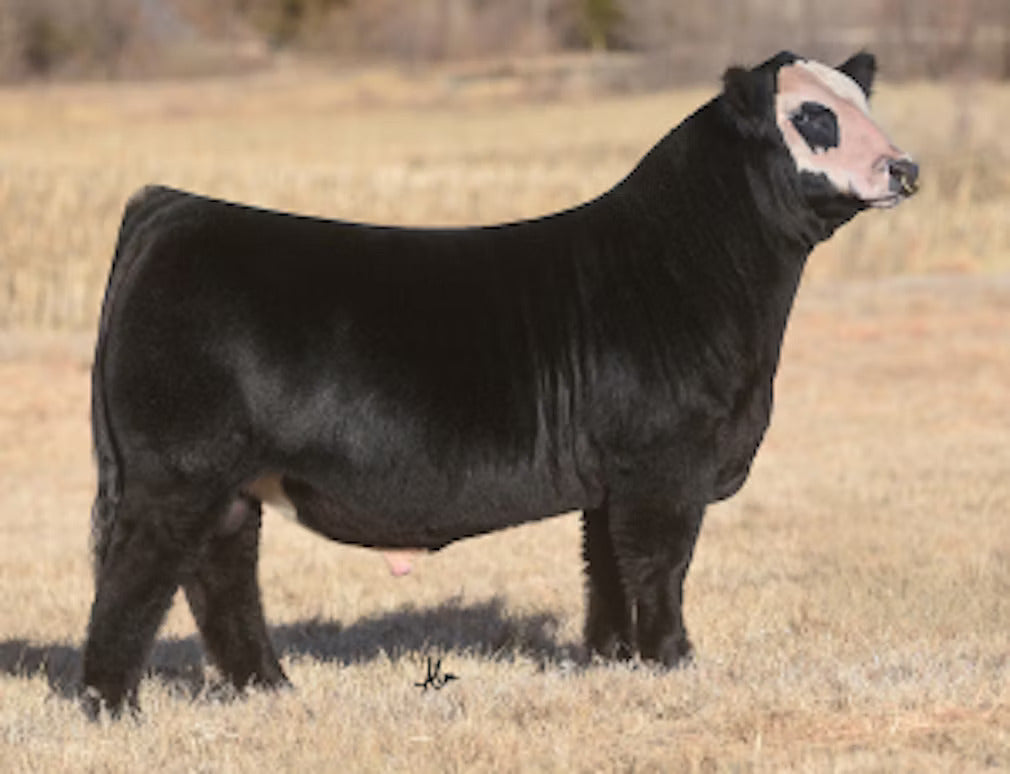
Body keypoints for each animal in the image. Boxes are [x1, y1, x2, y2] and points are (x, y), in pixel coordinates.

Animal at [81, 51, 918, 716]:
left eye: (864, 101)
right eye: (813, 117)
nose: (904, 167)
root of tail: (173, 206)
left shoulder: (611, 479)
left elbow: (605, 566)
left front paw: (614, 659)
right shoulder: (664, 464)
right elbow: (660, 562)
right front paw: (674, 659)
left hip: (228, 482)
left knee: (220, 572)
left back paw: (269, 687)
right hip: (177, 470)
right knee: (138, 571)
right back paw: (112, 705)